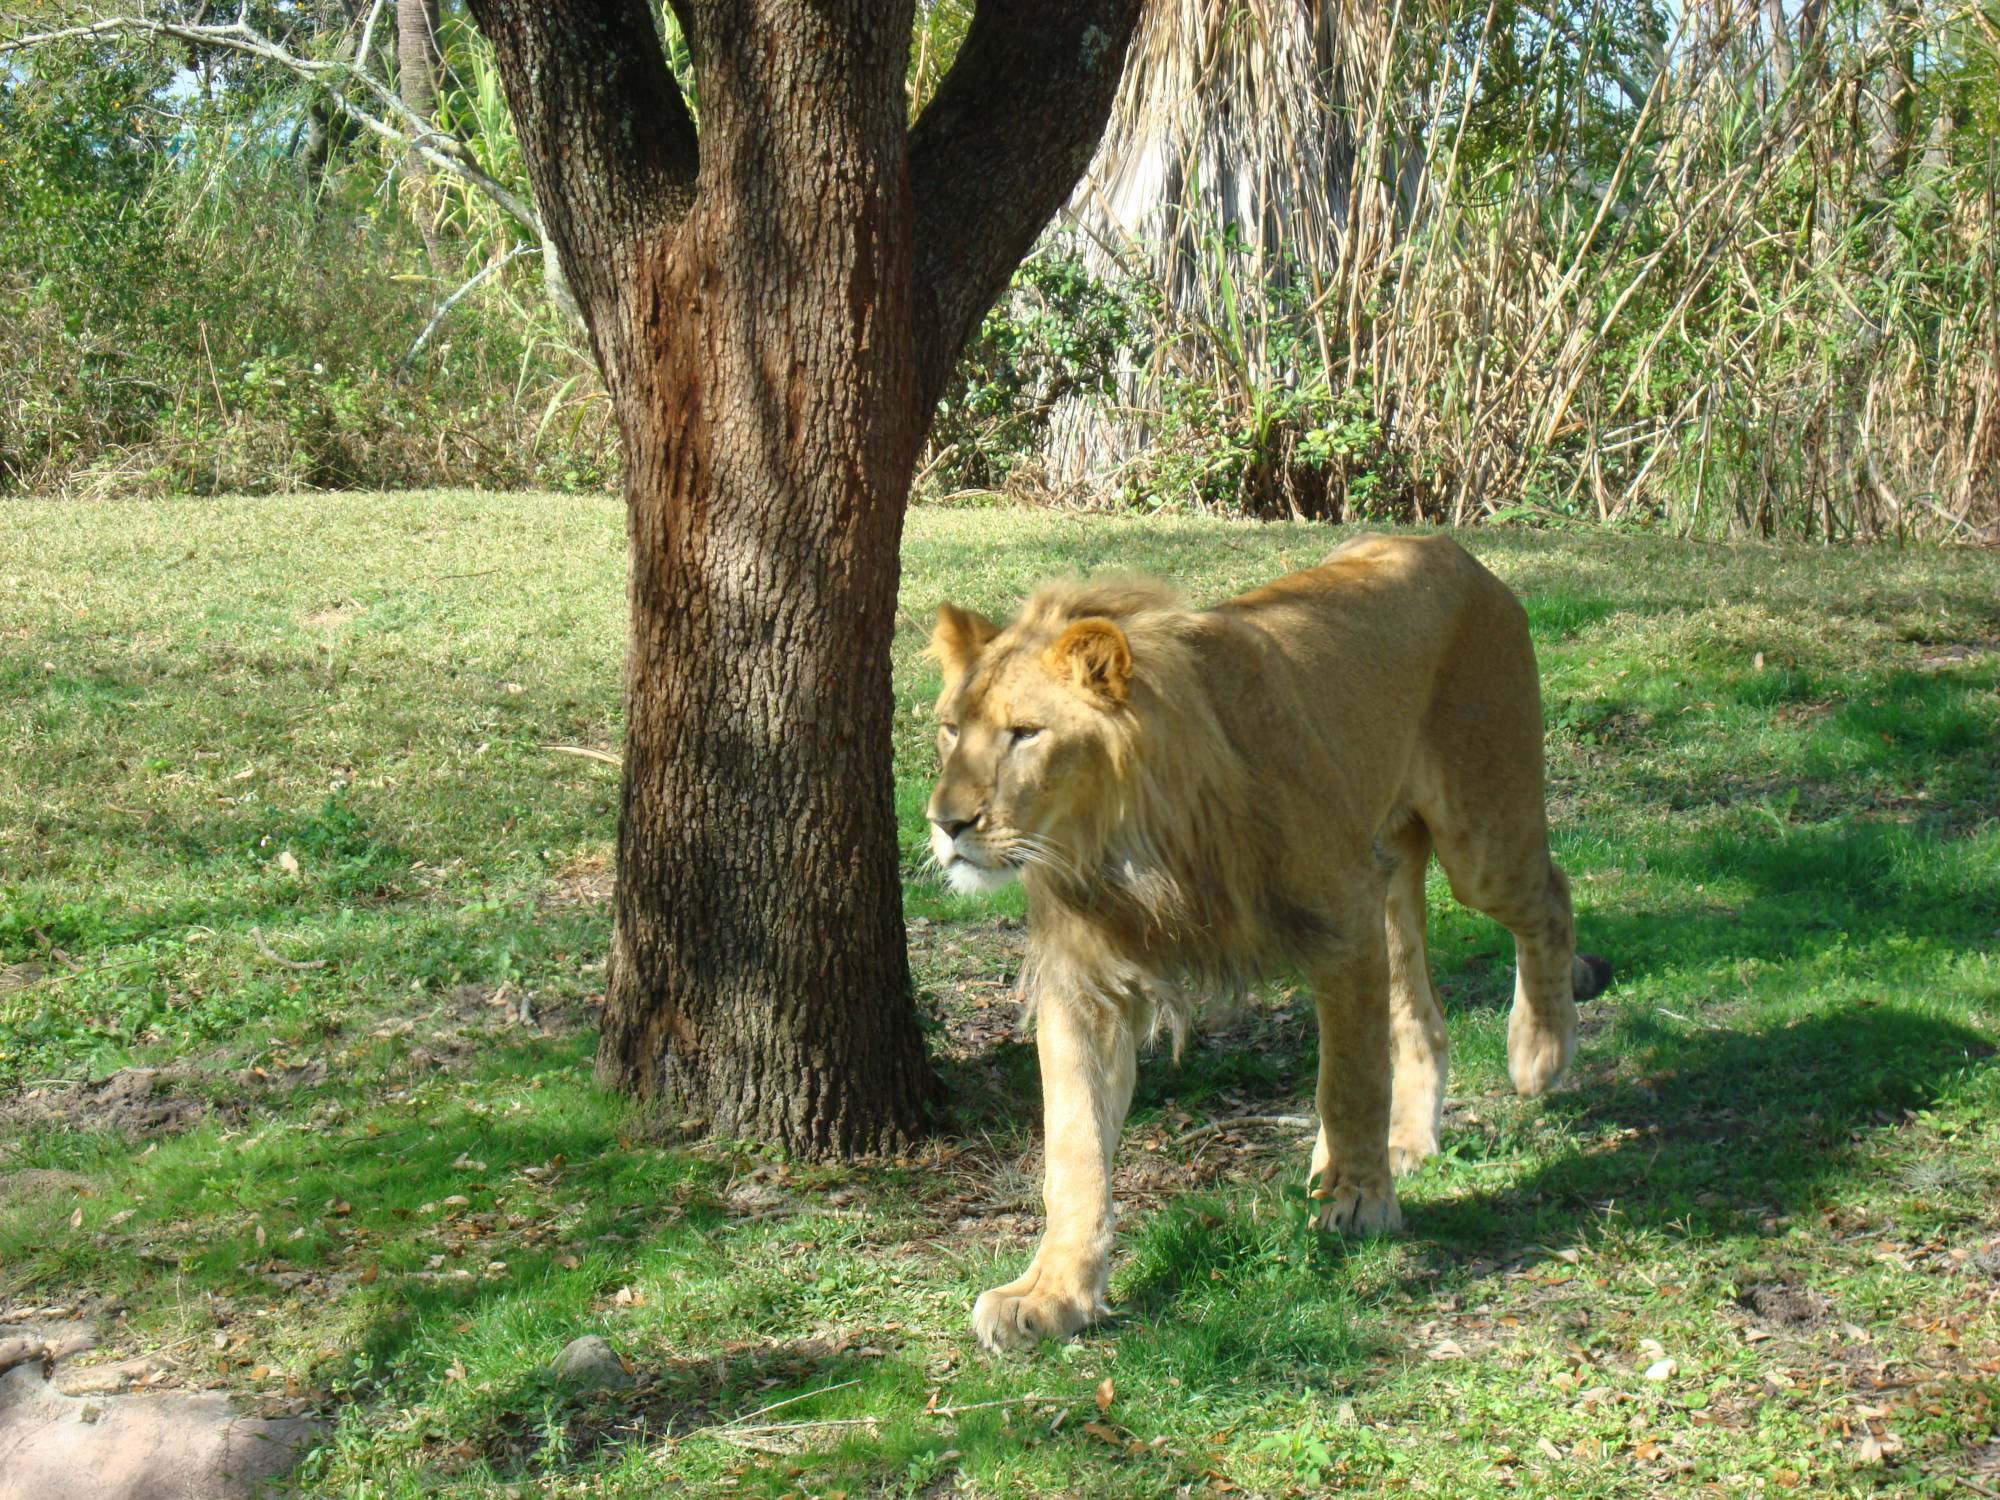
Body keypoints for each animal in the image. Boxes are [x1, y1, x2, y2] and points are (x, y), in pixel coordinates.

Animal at [924, 536, 1608, 1360]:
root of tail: (1448, 548)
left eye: (1026, 733)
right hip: (1387, 864)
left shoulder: (1341, 917)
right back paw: (1407, 1138)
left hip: (1479, 837)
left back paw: (1539, 1050)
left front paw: (1358, 1202)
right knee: (1420, 1011)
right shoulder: (1084, 980)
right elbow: (1074, 1144)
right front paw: (1052, 1292)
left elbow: (1349, 1080)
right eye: (950, 729)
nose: (944, 823)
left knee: (1551, 901)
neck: (1128, 837)